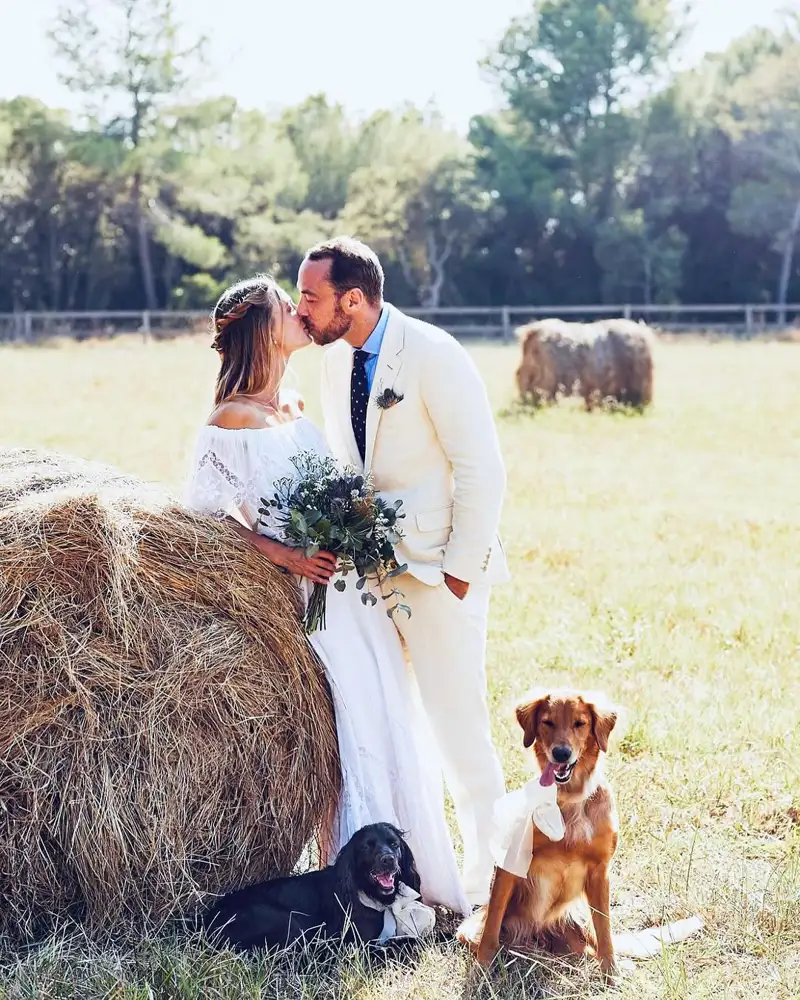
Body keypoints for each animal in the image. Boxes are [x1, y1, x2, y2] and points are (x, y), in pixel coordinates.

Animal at [203, 820, 422, 952]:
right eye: (367, 846)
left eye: (394, 844)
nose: (388, 859)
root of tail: (207, 923)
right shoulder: (359, 945)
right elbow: (405, 942)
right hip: (288, 922)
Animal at [460, 692, 620, 980]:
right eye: (547, 722)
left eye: (580, 723)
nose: (561, 752)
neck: (568, 799)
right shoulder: (510, 863)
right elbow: (492, 925)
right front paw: (483, 968)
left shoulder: (600, 870)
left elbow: (604, 930)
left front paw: (611, 974)